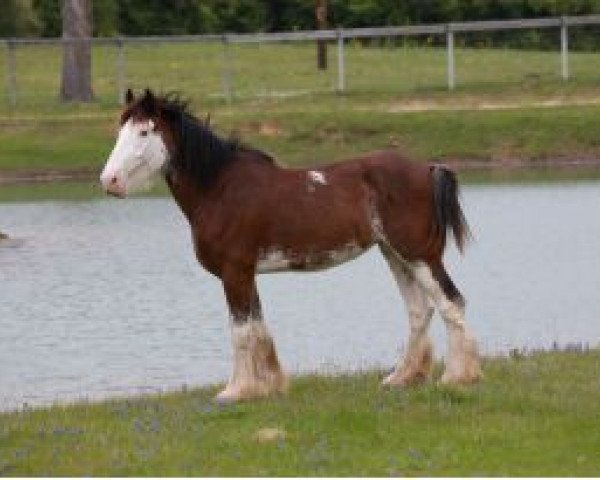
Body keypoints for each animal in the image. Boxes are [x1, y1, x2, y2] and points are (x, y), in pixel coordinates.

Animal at [101, 89, 480, 402]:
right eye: (120, 130)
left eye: (145, 131)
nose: (109, 181)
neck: (220, 188)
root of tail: (427, 167)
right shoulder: (245, 275)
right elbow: (256, 327)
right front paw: (269, 385)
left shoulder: (235, 272)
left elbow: (241, 330)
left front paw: (236, 391)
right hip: (395, 254)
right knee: (419, 311)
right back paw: (402, 379)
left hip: (420, 255)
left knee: (451, 303)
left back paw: (457, 378)